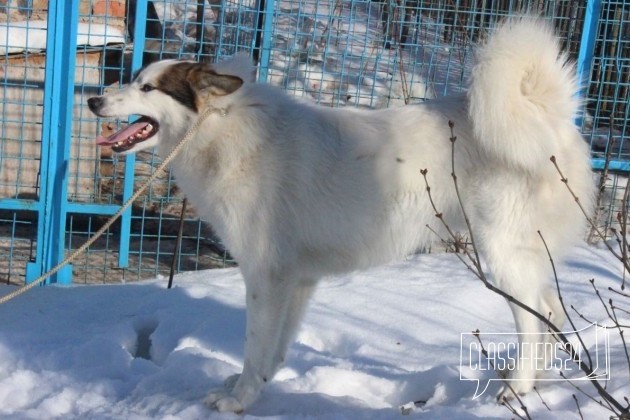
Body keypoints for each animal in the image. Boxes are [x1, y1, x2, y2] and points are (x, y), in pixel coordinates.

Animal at [87, 17, 592, 414]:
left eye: (147, 88)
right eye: (134, 78)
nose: (94, 100)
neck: (222, 127)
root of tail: (547, 114)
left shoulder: (266, 277)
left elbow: (255, 345)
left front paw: (239, 399)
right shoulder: (296, 282)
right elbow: (274, 350)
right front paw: (255, 388)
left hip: (500, 253)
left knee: (533, 321)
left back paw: (516, 390)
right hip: (524, 258)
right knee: (549, 310)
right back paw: (530, 382)